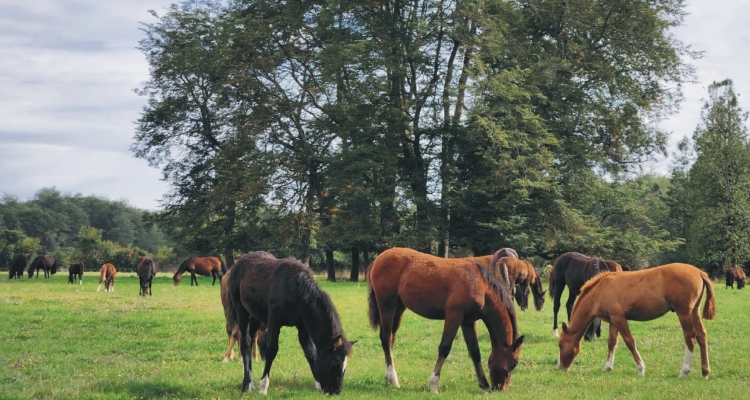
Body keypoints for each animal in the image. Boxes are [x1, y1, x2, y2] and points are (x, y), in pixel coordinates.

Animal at [226, 252, 356, 396]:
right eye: (336, 362)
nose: (336, 391)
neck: (295, 289)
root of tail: (239, 263)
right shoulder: (274, 321)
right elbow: (271, 350)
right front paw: (263, 387)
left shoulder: (302, 326)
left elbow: (310, 352)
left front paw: (317, 385)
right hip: (241, 310)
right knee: (245, 341)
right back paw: (247, 383)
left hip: (255, 316)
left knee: (251, 337)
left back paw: (250, 380)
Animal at [368, 247, 524, 394]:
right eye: (514, 363)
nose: (502, 388)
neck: (480, 285)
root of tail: (379, 258)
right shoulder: (454, 316)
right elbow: (444, 348)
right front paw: (434, 385)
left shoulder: (468, 322)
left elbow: (475, 352)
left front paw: (484, 386)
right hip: (387, 304)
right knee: (386, 338)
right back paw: (393, 379)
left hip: (399, 307)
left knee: (391, 338)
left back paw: (389, 378)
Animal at [560, 264, 716, 380]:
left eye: (560, 344)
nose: (560, 367)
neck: (600, 290)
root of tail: (699, 272)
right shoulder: (612, 320)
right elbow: (612, 342)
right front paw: (608, 367)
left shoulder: (619, 318)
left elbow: (629, 341)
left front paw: (641, 369)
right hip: (694, 311)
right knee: (702, 335)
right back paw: (705, 372)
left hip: (683, 312)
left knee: (690, 337)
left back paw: (684, 371)